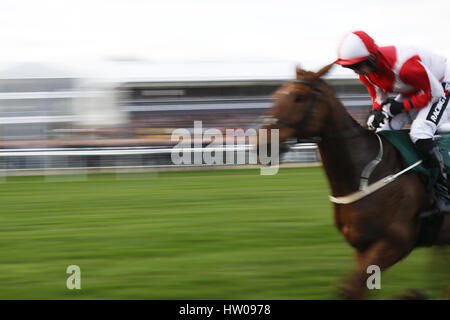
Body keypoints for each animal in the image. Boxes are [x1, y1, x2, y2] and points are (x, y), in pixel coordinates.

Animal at [260, 63, 450, 298]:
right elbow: (354, 289)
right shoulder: (363, 247)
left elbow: (350, 289)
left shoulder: (396, 242)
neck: (368, 170)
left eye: (299, 98)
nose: (262, 144)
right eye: (275, 96)